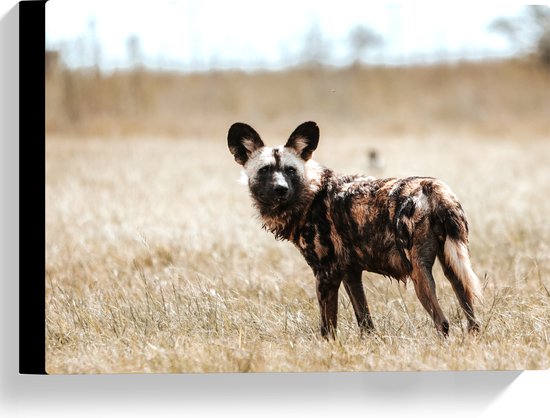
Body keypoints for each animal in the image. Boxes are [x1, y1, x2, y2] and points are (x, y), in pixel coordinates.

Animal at [227, 122, 484, 338]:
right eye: (265, 170)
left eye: (290, 170)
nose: (281, 189)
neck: (311, 195)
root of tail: (432, 188)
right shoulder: (351, 273)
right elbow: (365, 322)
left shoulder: (326, 273)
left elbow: (328, 328)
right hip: (453, 267)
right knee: (472, 320)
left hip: (418, 272)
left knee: (442, 322)